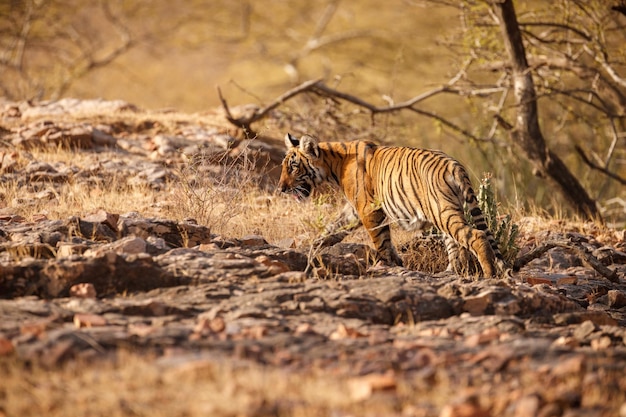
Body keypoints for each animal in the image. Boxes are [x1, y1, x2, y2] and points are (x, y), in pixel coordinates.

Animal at [276, 132, 504, 276]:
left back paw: (488, 275)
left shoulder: (368, 209)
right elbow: (331, 230)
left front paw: (385, 264)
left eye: (293, 167)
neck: (334, 163)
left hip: (442, 211)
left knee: (476, 236)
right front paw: (311, 249)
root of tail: (454, 165)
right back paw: (451, 272)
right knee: (457, 244)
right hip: (445, 213)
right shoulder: (353, 211)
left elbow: (381, 239)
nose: (280, 189)